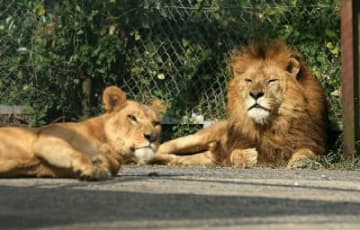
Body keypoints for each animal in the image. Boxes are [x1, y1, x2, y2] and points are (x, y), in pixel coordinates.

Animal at [0, 86, 163, 180]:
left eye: (156, 123)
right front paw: (93, 169)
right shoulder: (45, 140)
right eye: (132, 118)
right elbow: (79, 153)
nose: (152, 137)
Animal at [156, 40, 328, 168]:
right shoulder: (235, 145)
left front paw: (300, 161)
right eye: (249, 80)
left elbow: (307, 152)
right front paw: (248, 156)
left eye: (272, 80)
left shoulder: (313, 143)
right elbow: (235, 153)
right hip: (195, 139)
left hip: (205, 157)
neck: (270, 126)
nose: (255, 94)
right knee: (162, 147)